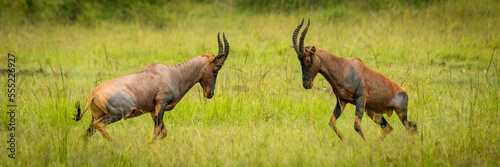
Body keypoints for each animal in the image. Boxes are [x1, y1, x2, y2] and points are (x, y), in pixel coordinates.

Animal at [73, 33, 229, 144]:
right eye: (216, 69)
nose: (210, 93)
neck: (172, 73)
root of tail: (94, 92)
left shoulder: (153, 110)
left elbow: (163, 132)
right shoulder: (161, 103)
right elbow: (158, 130)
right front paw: (149, 146)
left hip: (96, 115)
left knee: (86, 133)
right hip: (119, 113)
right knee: (99, 126)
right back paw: (115, 145)